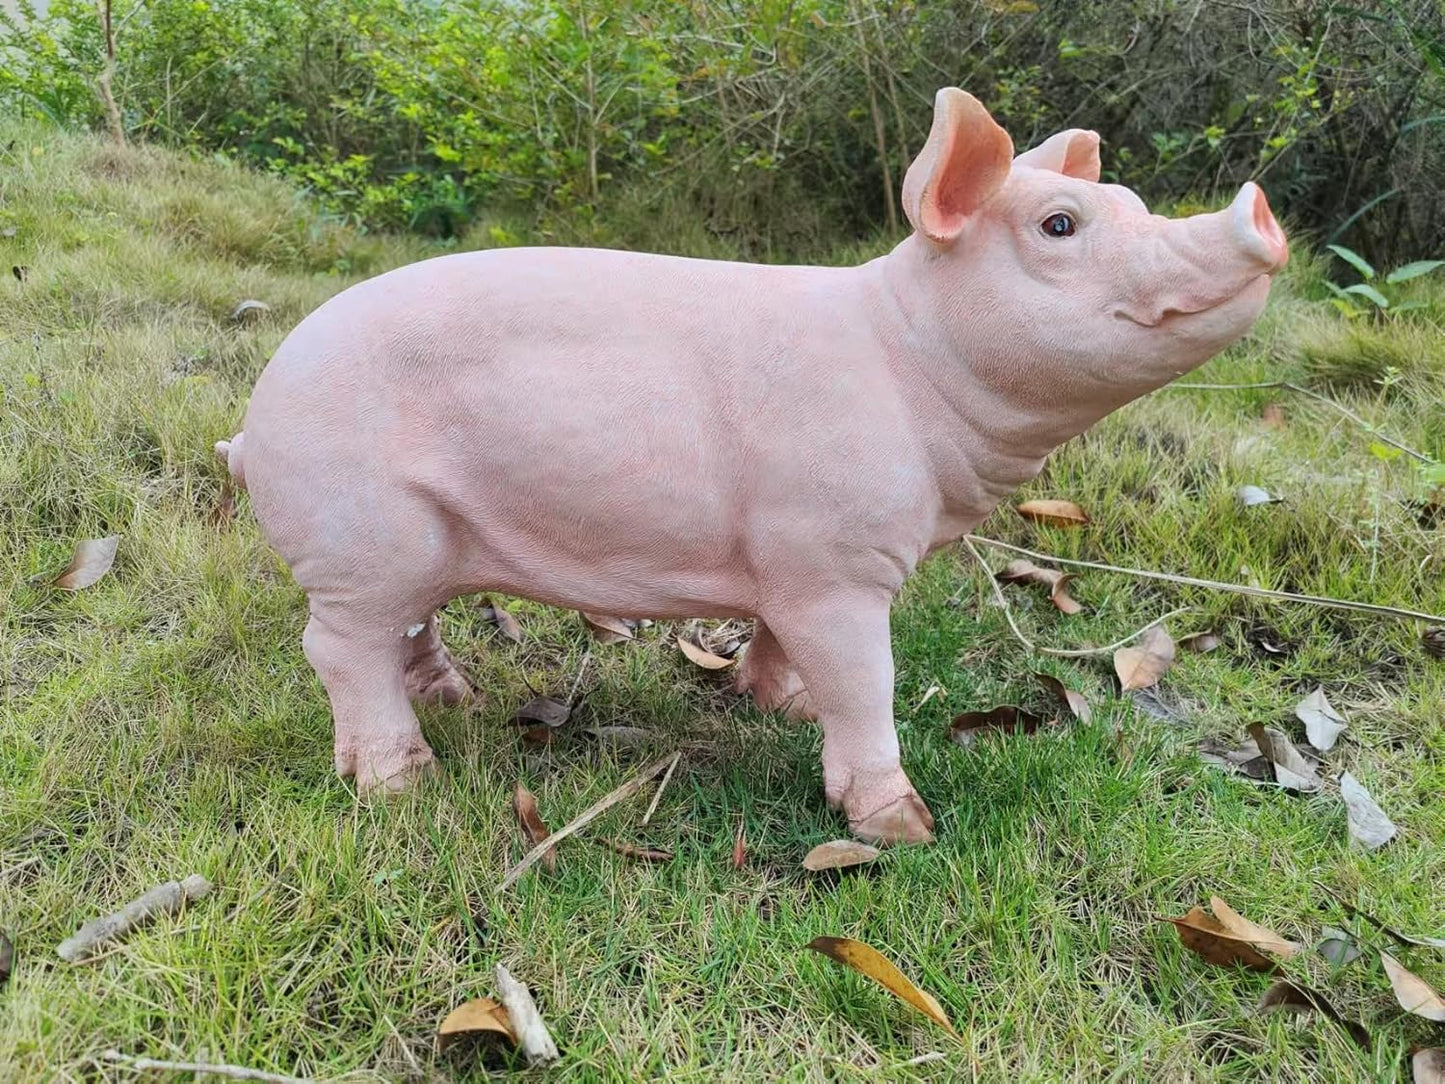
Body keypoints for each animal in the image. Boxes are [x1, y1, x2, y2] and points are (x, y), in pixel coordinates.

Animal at [218, 88, 1287, 845]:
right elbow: (866, 681)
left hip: (411, 542)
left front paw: (781, 702)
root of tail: (250, 427)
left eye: (1132, 204)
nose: (1259, 207)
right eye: (1060, 225)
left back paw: (460, 700)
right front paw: (901, 827)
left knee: (405, 627)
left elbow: (783, 647)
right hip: (357, 531)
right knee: (336, 649)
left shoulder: (791, 559)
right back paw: (404, 782)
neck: (906, 363)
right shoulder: (834, 560)